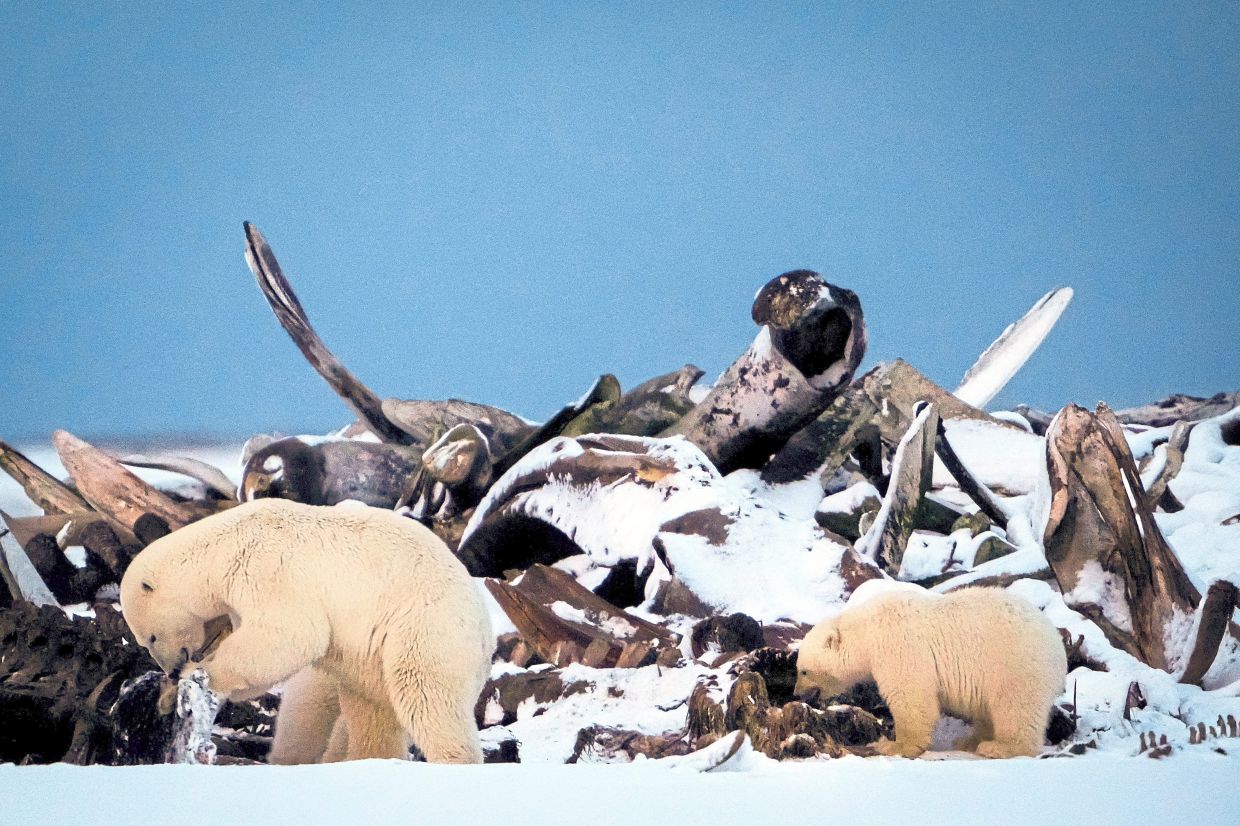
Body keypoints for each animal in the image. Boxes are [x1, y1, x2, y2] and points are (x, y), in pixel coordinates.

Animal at [119, 497, 494, 764]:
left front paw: (200, 674)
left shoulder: (267, 568)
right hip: (374, 656)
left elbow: (291, 634)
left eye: (150, 637)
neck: (224, 545)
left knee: (425, 694)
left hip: (425, 627)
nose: (170, 669)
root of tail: (486, 633)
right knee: (371, 707)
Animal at [793, 583, 1066, 758]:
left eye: (803, 671)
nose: (796, 693)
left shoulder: (899, 647)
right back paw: (969, 740)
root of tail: (1058, 645)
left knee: (1015, 707)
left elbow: (911, 697)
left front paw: (893, 745)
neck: (867, 631)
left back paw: (998, 747)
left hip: (1014, 664)